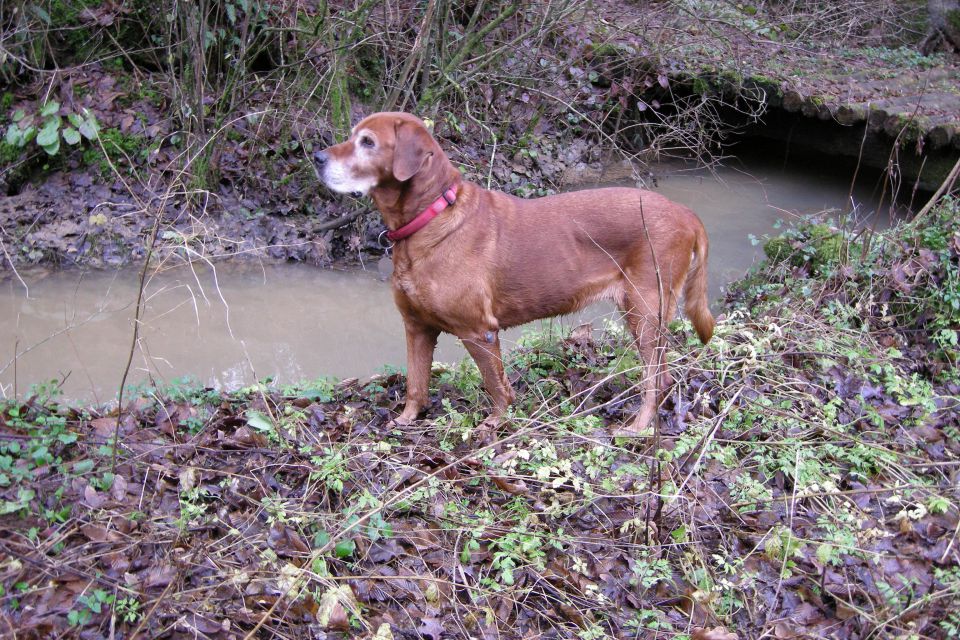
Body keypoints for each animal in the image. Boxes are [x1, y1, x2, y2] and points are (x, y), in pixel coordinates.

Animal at [316, 112, 712, 436]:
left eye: (368, 142)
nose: (317, 157)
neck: (430, 216)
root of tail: (687, 213)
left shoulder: (479, 331)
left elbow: (496, 386)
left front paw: (494, 424)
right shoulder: (417, 326)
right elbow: (416, 383)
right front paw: (405, 420)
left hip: (643, 311)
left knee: (655, 379)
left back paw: (638, 427)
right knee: (664, 376)